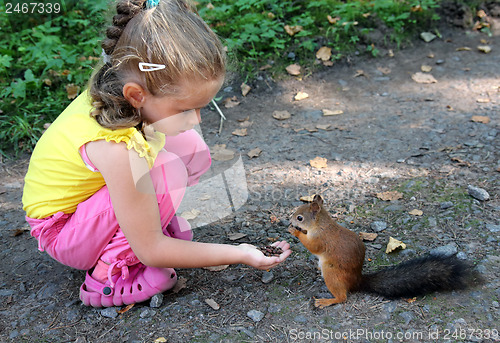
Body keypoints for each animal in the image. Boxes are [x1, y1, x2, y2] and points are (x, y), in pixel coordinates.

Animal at [290, 195, 480, 310]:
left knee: (343, 297)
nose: (290, 220)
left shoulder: (321, 239)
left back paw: (327, 301)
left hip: (332, 274)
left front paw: (295, 232)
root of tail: (357, 281)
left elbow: (312, 246)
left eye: (300, 217)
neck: (321, 225)